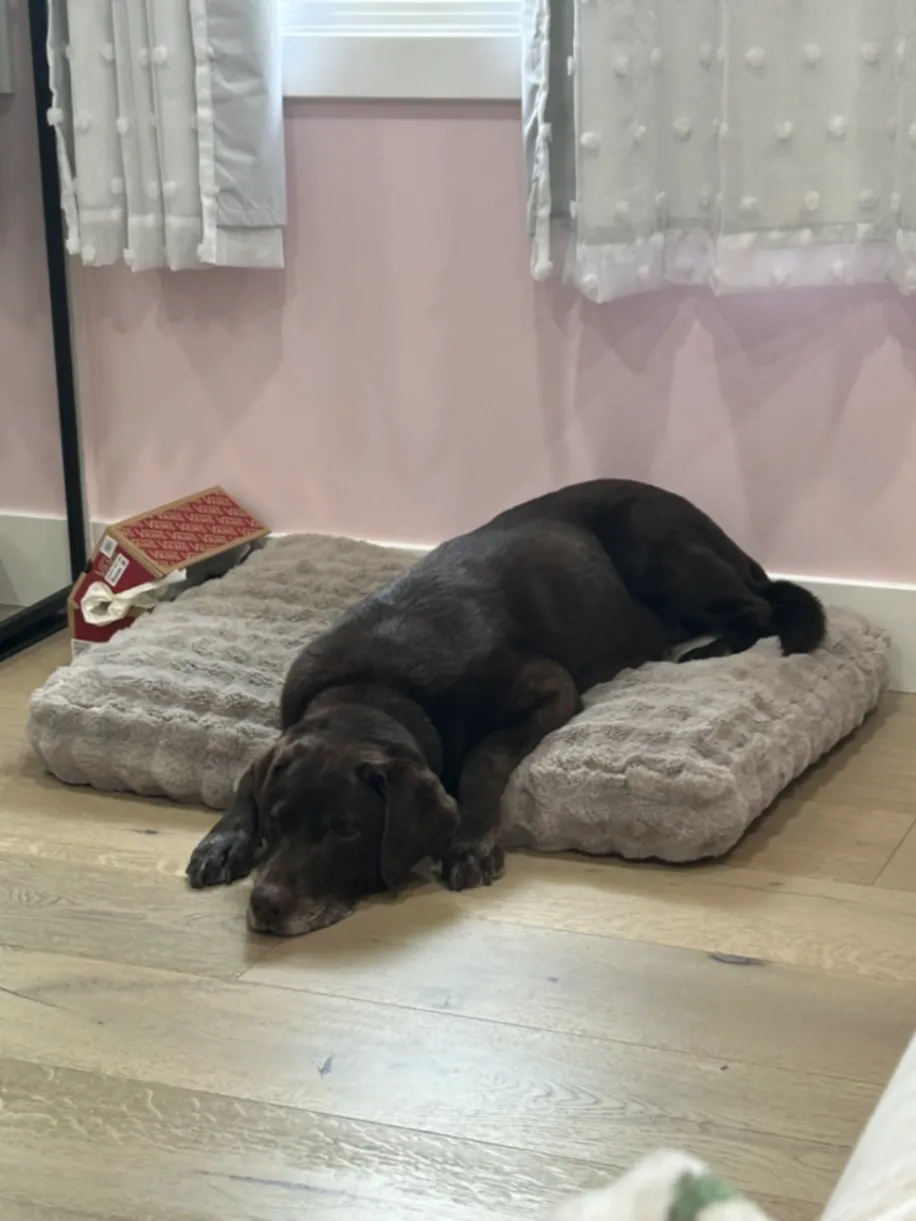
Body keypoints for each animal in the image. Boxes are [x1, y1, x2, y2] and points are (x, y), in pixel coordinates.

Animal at [186, 479, 825, 936]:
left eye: (345, 831)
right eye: (278, 820)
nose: (266, 906)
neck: (378, 685)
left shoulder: (550, 688)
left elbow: (484, 758)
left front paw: (470, 842)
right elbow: (246, 775)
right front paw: (223, 839)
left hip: (657, 551)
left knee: (760, 608)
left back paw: (705, 651)